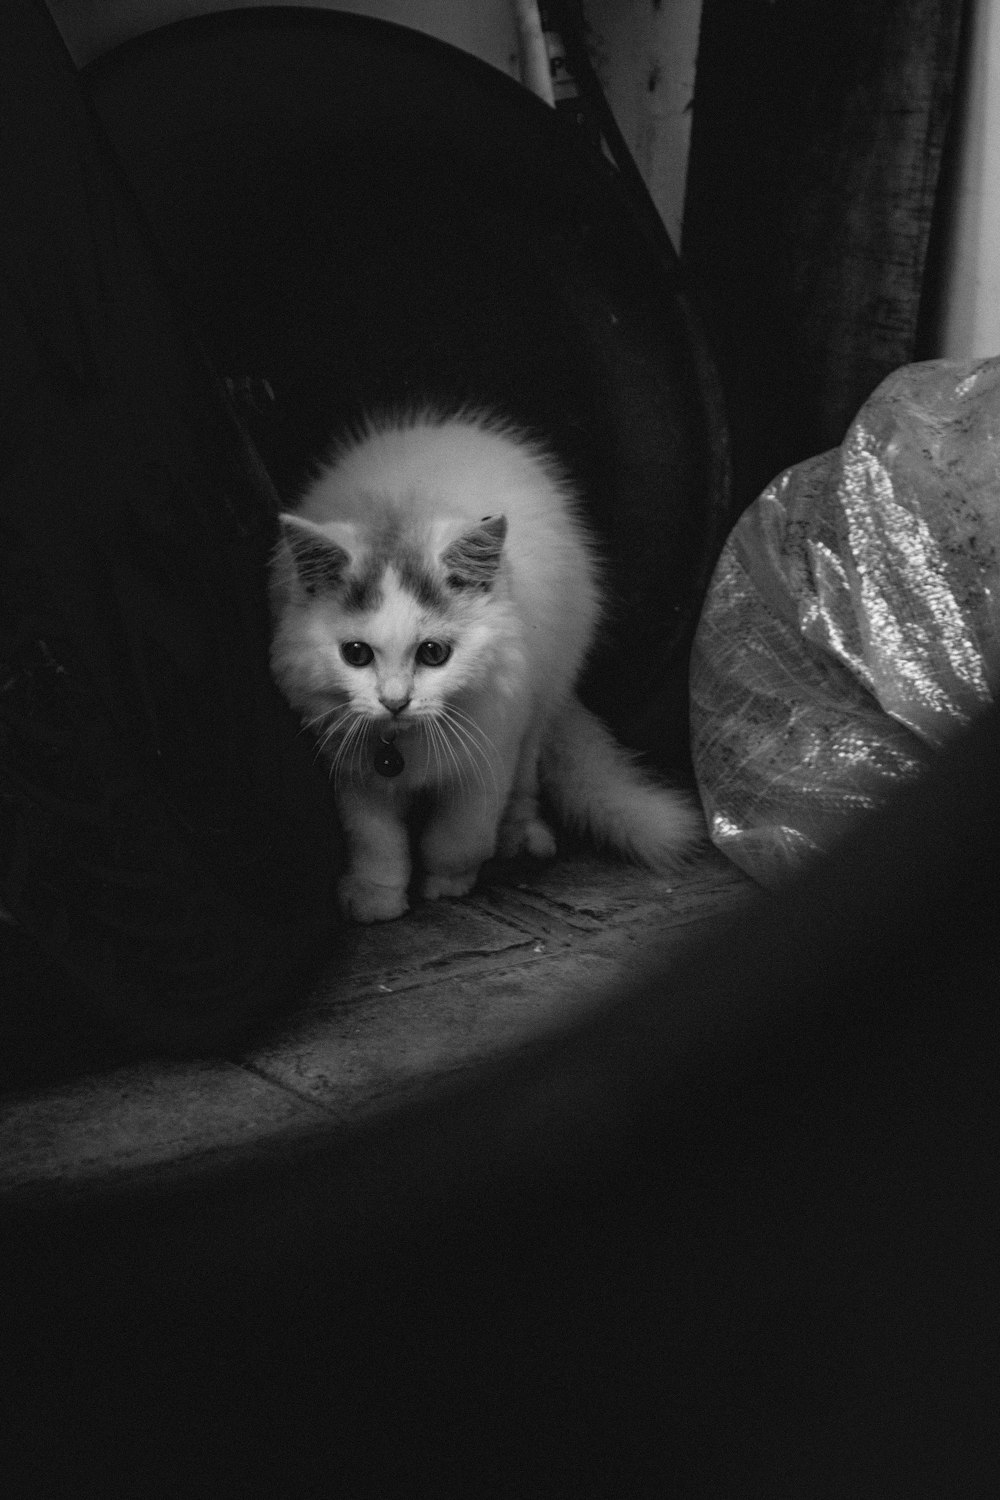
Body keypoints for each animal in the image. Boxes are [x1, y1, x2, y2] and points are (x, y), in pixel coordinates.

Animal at [268, 414, 704, 924]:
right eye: (356, 654)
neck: (403, 747)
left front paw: (447, 884)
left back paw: (522, 837)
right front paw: (376, 899)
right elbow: (375, 840)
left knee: (526, 783)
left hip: (542, 697)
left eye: (433, 653)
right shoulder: (354, 767)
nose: (395, 702)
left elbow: (459, 837)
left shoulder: (490, 751)